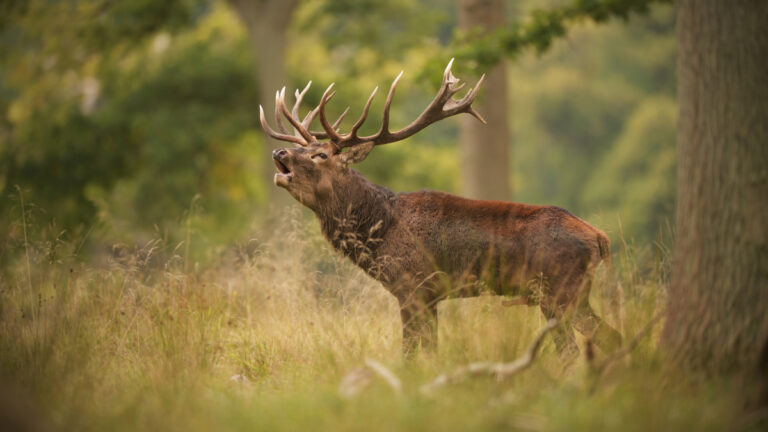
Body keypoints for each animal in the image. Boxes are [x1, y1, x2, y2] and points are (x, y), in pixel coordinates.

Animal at [259, 59, 622, 363]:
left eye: (320, 155)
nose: (279, 152)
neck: (379, 230)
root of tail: (600, 238)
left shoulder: (413, 286)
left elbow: (410, 353)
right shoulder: (431, 296)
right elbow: (430, 350)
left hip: (559, 290)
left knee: (575, 348)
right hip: (571, 294)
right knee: (607, 337)